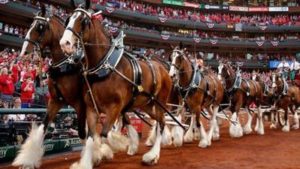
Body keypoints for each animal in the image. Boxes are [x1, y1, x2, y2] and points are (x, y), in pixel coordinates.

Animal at [11, 5, 86, 169]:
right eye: (30, 24)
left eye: (39, 27)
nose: (24, 50)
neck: (65, 64)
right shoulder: (55, 101)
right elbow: (43, 127)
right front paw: (28, 160)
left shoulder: (79, 103)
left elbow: (83, 132)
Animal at [60, 1, 173, 167]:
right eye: (68, 19)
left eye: (83, 21)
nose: (64, 43)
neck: (104, 67)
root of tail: (162, 67)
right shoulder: (91, 109)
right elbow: (91, 138)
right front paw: (88, 161)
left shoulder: (115, 107)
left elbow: (105, 134)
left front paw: (111, 149)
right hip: (146, 104)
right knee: (160, 121)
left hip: (161, 102)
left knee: (162, 124)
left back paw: (153, 156)